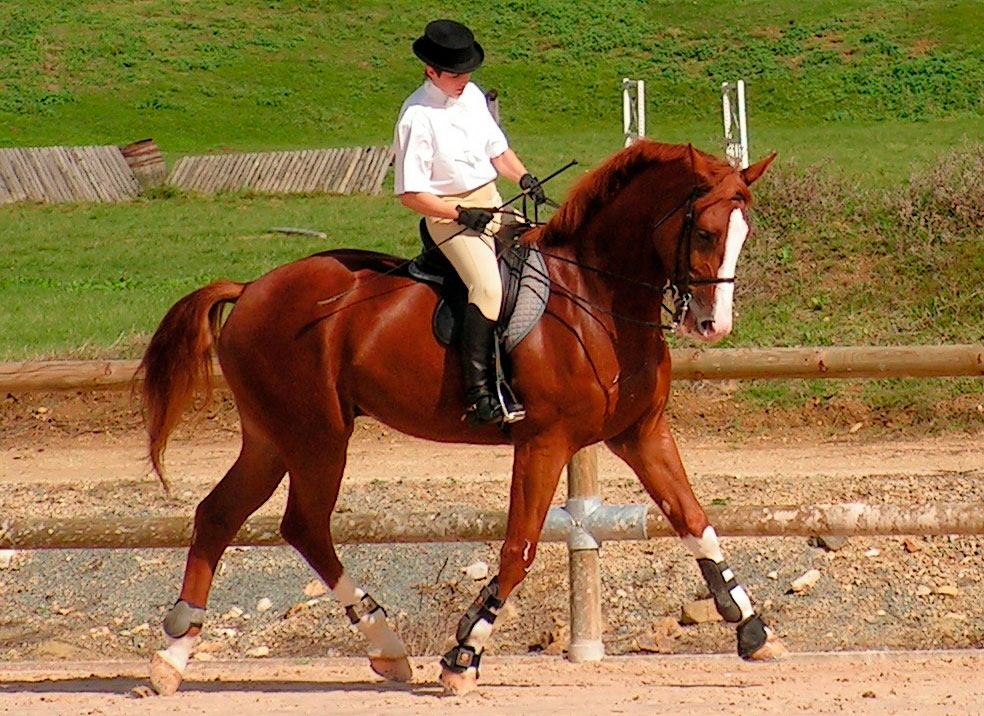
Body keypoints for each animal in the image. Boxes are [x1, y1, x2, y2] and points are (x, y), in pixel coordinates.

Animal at [140, 140, 782, 696]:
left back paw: (176, 657)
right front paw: (464, 655)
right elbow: (519, 548)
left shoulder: (641, 434)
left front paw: (751, 627)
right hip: (316, 436)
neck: (597, 298)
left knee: (222, 515)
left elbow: (694, 520)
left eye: (742, 235)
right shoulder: (545, 442)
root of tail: (251, 287)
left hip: (273, 438)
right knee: (303, 524)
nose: (713, 325)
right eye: (705, 232)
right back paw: (382, 643)